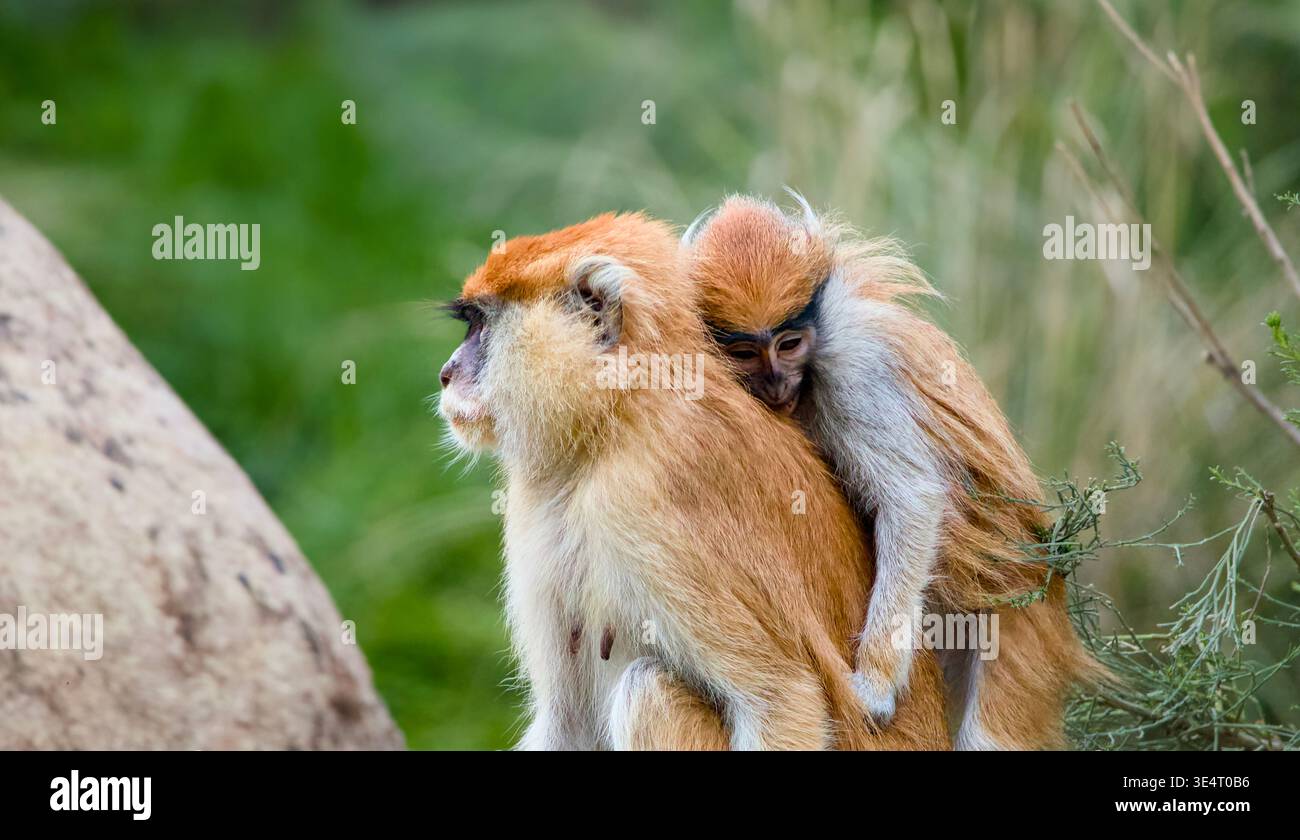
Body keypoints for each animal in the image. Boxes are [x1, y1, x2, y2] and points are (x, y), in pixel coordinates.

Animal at [437, 211, 951, 750]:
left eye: (480, 325)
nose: (447, 374)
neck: (619, 408)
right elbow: (567, 720)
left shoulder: (639, 501)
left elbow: (784, 699)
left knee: (647, 689)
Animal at [684, 192, 1102, 749]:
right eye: (747, 351)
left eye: (789, 344)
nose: (775, 383)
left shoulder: (853, 371)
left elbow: (912, 499)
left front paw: (876, 684)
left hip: (1022, 624)